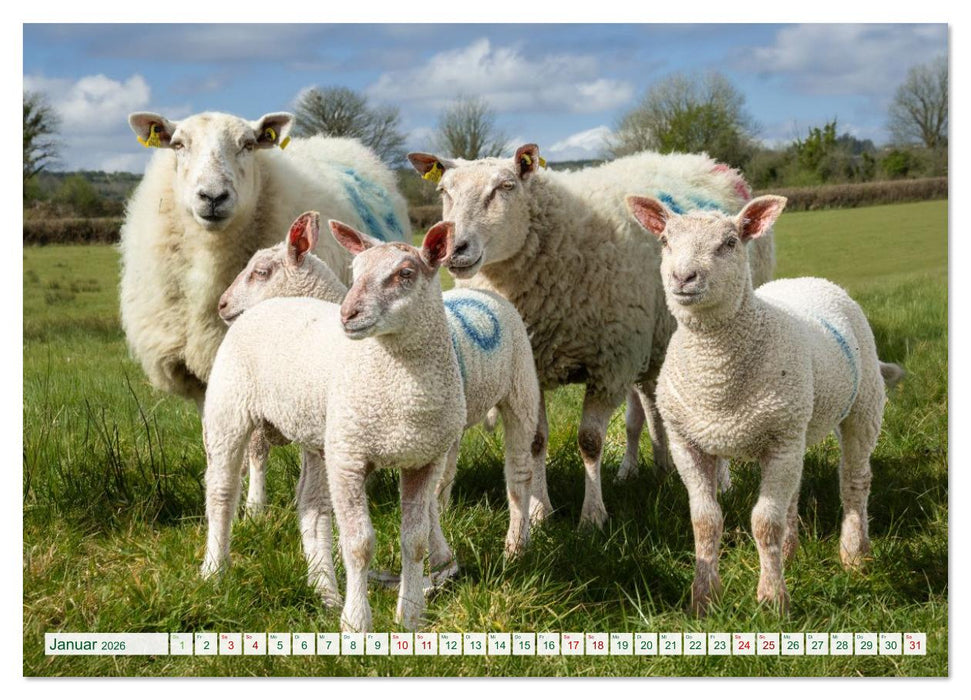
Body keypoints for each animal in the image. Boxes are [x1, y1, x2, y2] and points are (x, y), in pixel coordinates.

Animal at [201, 221, 466, 632]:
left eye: (405, 274)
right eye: (355, 272)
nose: (348, 315)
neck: (405, 392)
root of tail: (266, 306)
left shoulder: (424, 459)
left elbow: (415, 541)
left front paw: (410, 616)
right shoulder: (349, 458)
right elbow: (358, 545)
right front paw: (356, 622)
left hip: (321, 438)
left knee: (311, 509)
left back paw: (324, 591)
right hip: (228, 411)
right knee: (221, 493)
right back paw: (215, 571)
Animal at [220, 213, 543, 555]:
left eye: (261, 272)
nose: (222, 305)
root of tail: (487, 294)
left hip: (521, 391)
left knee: (518, 472)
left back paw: (517, 544)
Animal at [406, 146, 773, 528]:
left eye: (505, 187)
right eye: (444, 191)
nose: (454, 248)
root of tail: (704, 161)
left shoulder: (610, 364)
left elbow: (590, 441)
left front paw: (593, 516)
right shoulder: (534, 367)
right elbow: (537, 441)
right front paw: (540, 512)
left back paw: (723, 482)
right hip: (655, 343)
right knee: (650, 403)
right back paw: (658, 467)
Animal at [627, 193, 903, 614]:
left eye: (730, 243)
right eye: (664, 241)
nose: (683, 278)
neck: (716, 378)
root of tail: (808, 280)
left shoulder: (780, 440)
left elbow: (763, 523)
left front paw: (772, 599)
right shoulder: (686, 443)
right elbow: (705, 521)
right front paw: (704, 599)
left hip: (862, 405)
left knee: (855, 481)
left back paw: (855, 554)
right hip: (795, 427)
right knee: (794, 490)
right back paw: (789, 552)